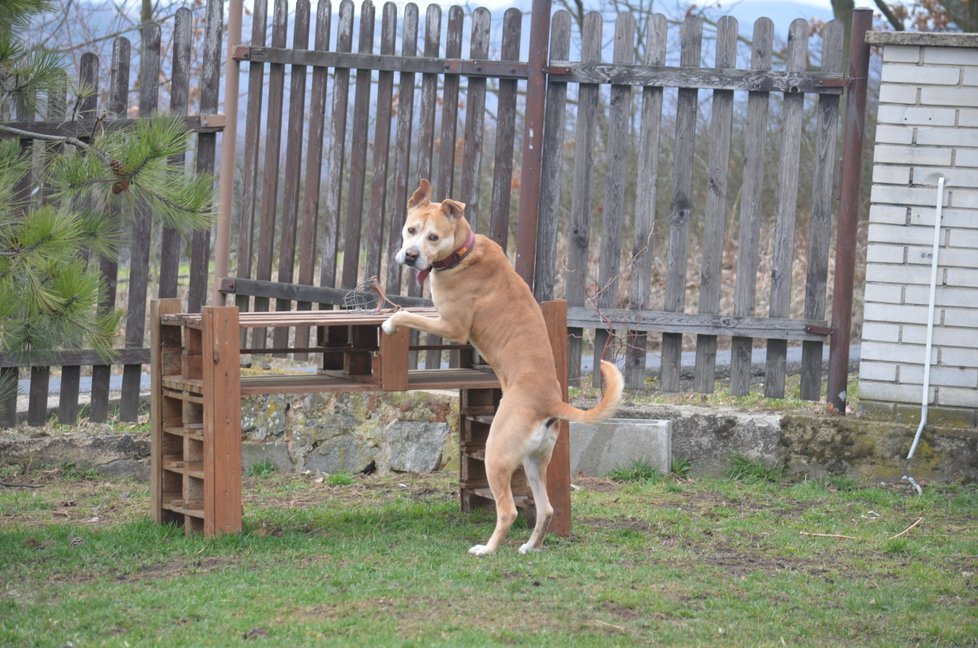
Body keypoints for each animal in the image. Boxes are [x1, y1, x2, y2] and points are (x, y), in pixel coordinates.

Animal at [382, 178, 624, 556]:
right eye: (411, 230)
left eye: (433, 237)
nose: (410, 256)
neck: (463, 253)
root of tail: (551, 403)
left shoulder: (452, 325)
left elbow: (409, 314)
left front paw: (390, 323)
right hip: (535, 462)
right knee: (546, 508)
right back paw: (529, 547)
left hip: (496, 456)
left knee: (509, 510)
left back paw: (488, 549)